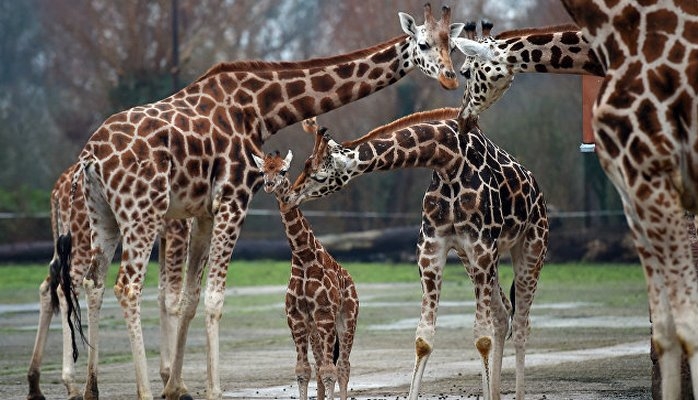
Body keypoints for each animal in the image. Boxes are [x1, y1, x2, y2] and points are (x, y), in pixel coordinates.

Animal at [25, 162, 189, 400]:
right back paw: (72, 386)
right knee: (66, 288)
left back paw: (35, 385)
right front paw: (179, 386)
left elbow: (161, 294)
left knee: (48, 287)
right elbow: (172, 299)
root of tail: (56, 191)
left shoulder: (166, 235)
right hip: (82, 238)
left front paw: (167, 378)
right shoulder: (180, 228)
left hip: (64, 240)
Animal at [251, 150, 358, 400]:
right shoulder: (297, 318)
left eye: (284, 170)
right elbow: (303, 370)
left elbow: (329, 370)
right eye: (263, 171)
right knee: (320, 365)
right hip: (315, 330)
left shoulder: (325, 315)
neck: (303, 257)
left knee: (343, 366)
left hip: (347, 319)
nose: (270, 185)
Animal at [286, 107, 548, 400]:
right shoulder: (433, 248)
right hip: (471, 260)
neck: (448, 160)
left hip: (530, 246)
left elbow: (481, 337)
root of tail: (537, 190)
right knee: (503, 314)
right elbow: (424, 338)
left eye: (319, 176)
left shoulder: (481, 246)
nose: (290, 195)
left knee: (522, 325)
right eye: (305, 165)